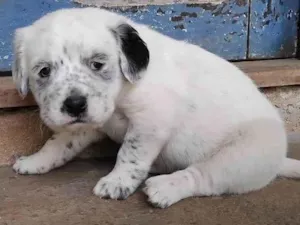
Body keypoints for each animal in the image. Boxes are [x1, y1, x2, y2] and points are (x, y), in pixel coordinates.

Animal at [10, 7, 300, 207]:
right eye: (44, 71)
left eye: (97, 64)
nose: (74, 105)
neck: (121, 95)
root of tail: (278, 162)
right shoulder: (87, 123)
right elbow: (58, 144)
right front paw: (36, 161)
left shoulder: (149, 122)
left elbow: (129, 154)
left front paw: (117, 182)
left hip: (241, 155)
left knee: (203, 177)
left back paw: (166, 187)